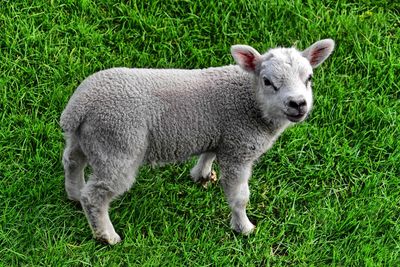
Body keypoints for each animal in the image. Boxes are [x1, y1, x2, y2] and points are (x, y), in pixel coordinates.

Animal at [59, 38, 334, 246]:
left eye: (309, 78)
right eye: (267, 81)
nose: (298, 103)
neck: (250, 101)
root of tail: (79, 105)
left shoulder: (221, 134)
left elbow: (208, 154)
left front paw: (202, 175)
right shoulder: (239, 147)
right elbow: (240, 196)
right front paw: (244, 227)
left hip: (87, 138)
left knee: (71, 161)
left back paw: (73, 193)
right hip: (117, 144)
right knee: (96, 195)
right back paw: (106, 235)